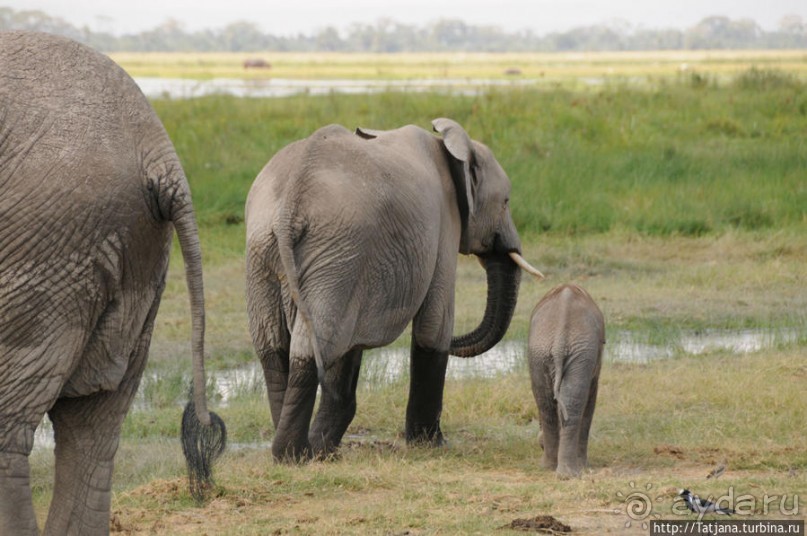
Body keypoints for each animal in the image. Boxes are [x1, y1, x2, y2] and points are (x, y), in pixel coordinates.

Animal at [246, 119, 544, 462]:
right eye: (506, 202)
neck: (447, 146)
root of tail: (289, 208)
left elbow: (350, 347)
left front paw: (326, 446)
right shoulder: (444, 224)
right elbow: (433, 327)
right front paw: (432, 445)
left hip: (266, 253)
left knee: (273, 346)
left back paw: (297, 452)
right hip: (334, 255)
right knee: (314, 343)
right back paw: (296, 456)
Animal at [532, 284, 608, 478]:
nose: (539, 444)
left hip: (541, 351)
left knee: (546, 402)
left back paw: (556, 470)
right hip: (577, 352)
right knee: (571, 401)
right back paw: (565, 470)